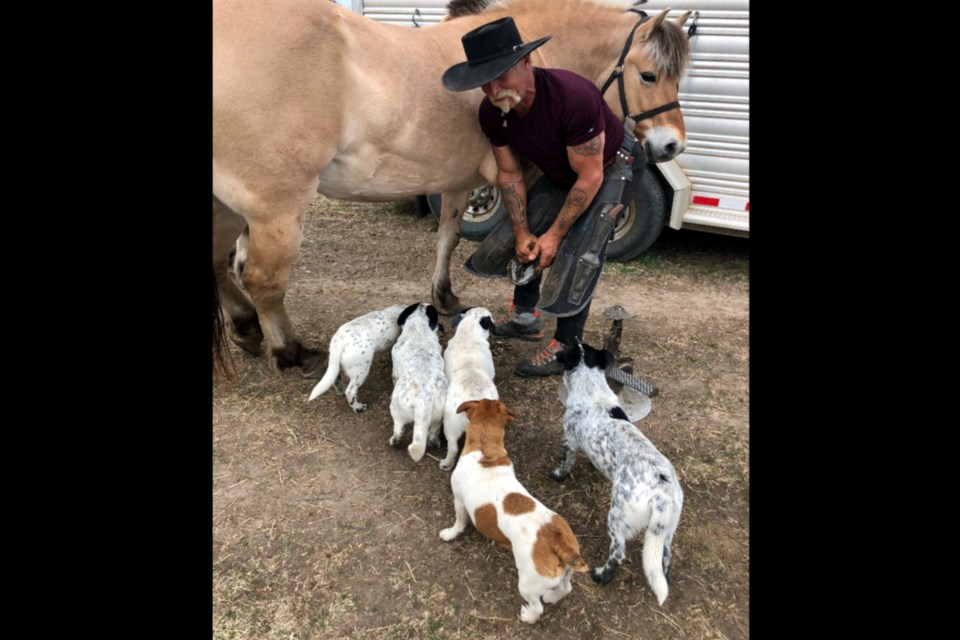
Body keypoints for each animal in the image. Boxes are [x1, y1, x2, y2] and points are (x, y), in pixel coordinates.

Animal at [211, 0, 688, 372]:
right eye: (649, 75)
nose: (671, 145)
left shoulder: (458, 182)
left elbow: (448, 237)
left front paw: (445, 296)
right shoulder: (527, 175)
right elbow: (533, 235)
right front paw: (524, 306)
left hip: (229, 206)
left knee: (219, 262)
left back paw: (246, 328)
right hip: (276, 207)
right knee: (262, 279)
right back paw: (289, 352)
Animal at [388, 304, 448, 460]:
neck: (418, 328)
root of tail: (423, 399)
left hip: (396, 409)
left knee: (398, 429)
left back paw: (394, 440)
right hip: (438, 415)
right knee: (433, 430)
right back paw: (434, 442)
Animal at [438, 398, 588, 624]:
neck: (485, 448)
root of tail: (557, 542)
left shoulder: (459, 501)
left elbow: (459, 522)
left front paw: (450, 533)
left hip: (526, 584)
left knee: (537, 607)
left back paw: (528, 616)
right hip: (566, 573)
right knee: (565, 588)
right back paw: (552, 597)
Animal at [548, 340, 684, 604]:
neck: (591, 387)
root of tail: (663, 492)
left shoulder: (569, 440)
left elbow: (566, 463)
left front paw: (558, 475)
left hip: (618, 516)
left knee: (618, 552)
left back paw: (601, 575)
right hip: (667, 529)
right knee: (667, 556)